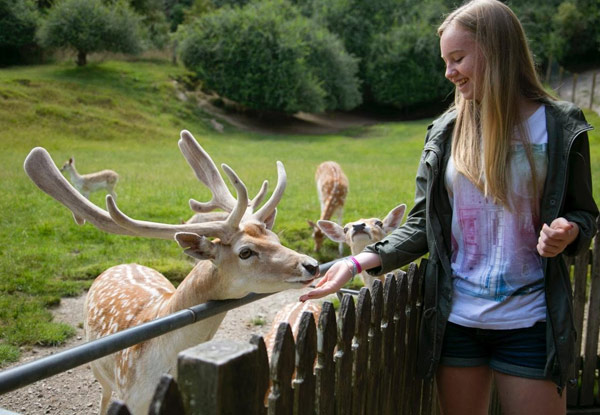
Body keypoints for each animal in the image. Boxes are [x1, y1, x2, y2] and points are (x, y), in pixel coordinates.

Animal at [23, 131, 318, 415]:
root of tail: (122, 263)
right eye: (245, 252)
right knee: (104, 396)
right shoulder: (129, 397)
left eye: (276, 237)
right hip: (101, 372)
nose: (311, 264)